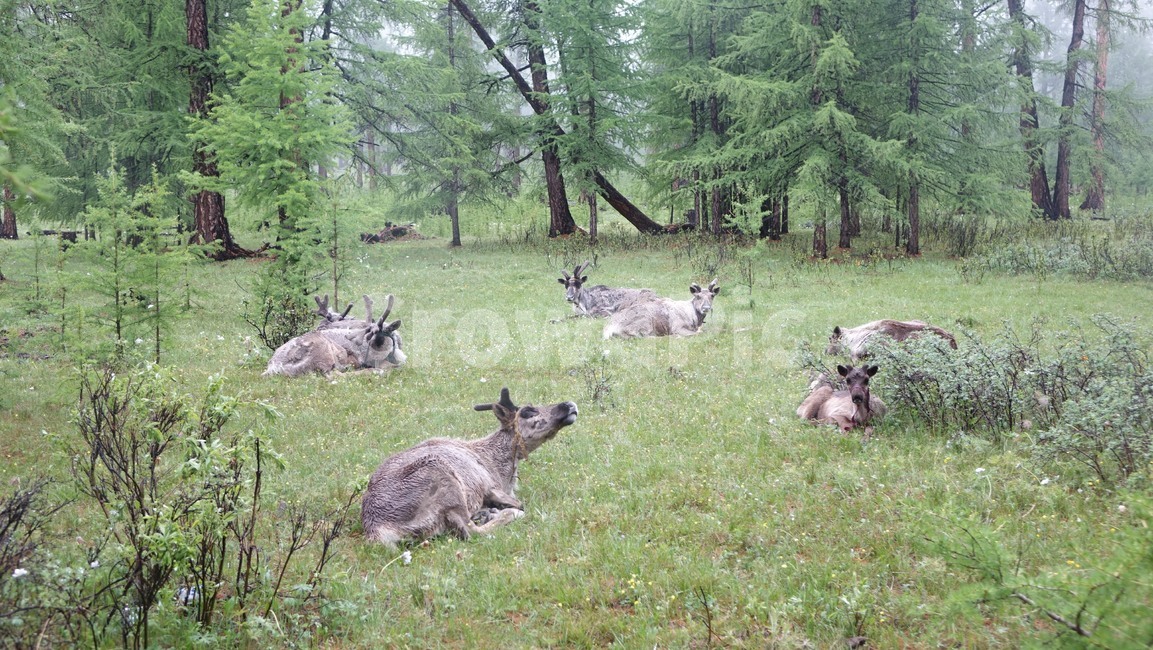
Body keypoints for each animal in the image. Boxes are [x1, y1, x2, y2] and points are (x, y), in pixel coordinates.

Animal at [361, 387, 578, 547]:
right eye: (527, 410)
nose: (569, 404)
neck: (498, 465)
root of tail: (377, 531)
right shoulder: (489, 486)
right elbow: (520, 503)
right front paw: (498, 511)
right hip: (442, 476)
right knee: (471, 532)